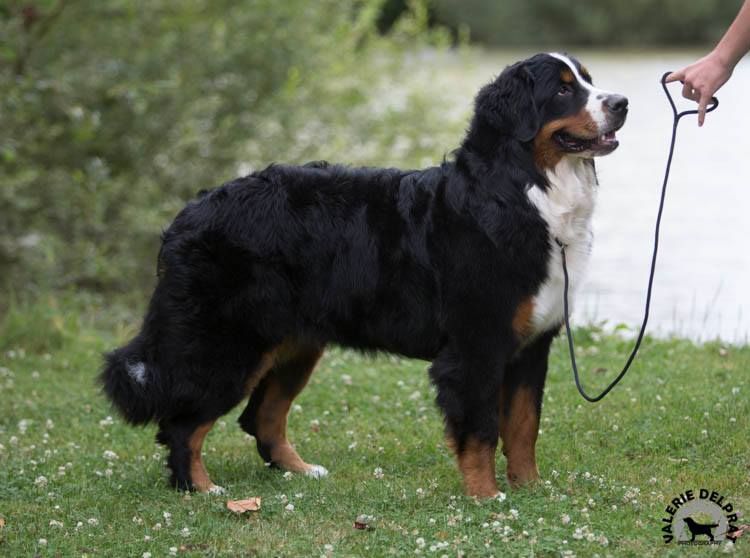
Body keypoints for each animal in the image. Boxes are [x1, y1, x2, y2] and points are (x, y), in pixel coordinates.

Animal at [100, 52, 628, 498]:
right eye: (562, 90)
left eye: (589, 80)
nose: (621, 103)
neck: (524, 192)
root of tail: (190, 211)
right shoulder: (476, 345)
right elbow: (481, 429)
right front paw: (487, 497)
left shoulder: (530, 345)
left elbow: (522, 426)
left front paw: (530, 491)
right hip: (228, 345)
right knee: (184, 423)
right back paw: (201, 489)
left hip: (293, 343)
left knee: (261, 417)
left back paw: (299, 471)